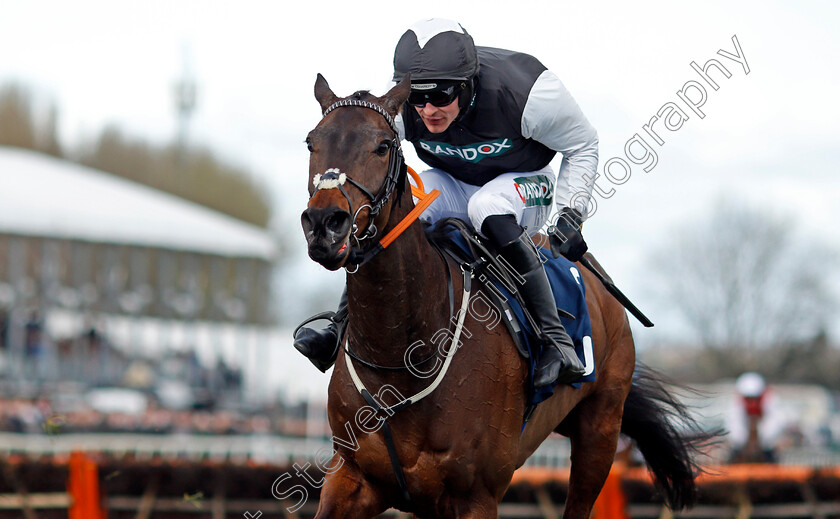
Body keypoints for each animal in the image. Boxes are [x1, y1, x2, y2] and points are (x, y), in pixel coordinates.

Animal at [300, 74, 708, 519]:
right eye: (312, 142)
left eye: (383, 145)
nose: (325, 223)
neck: (403, 357)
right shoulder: (353, 476)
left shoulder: (476, 495)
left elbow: (580, 140)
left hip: (600, 432)